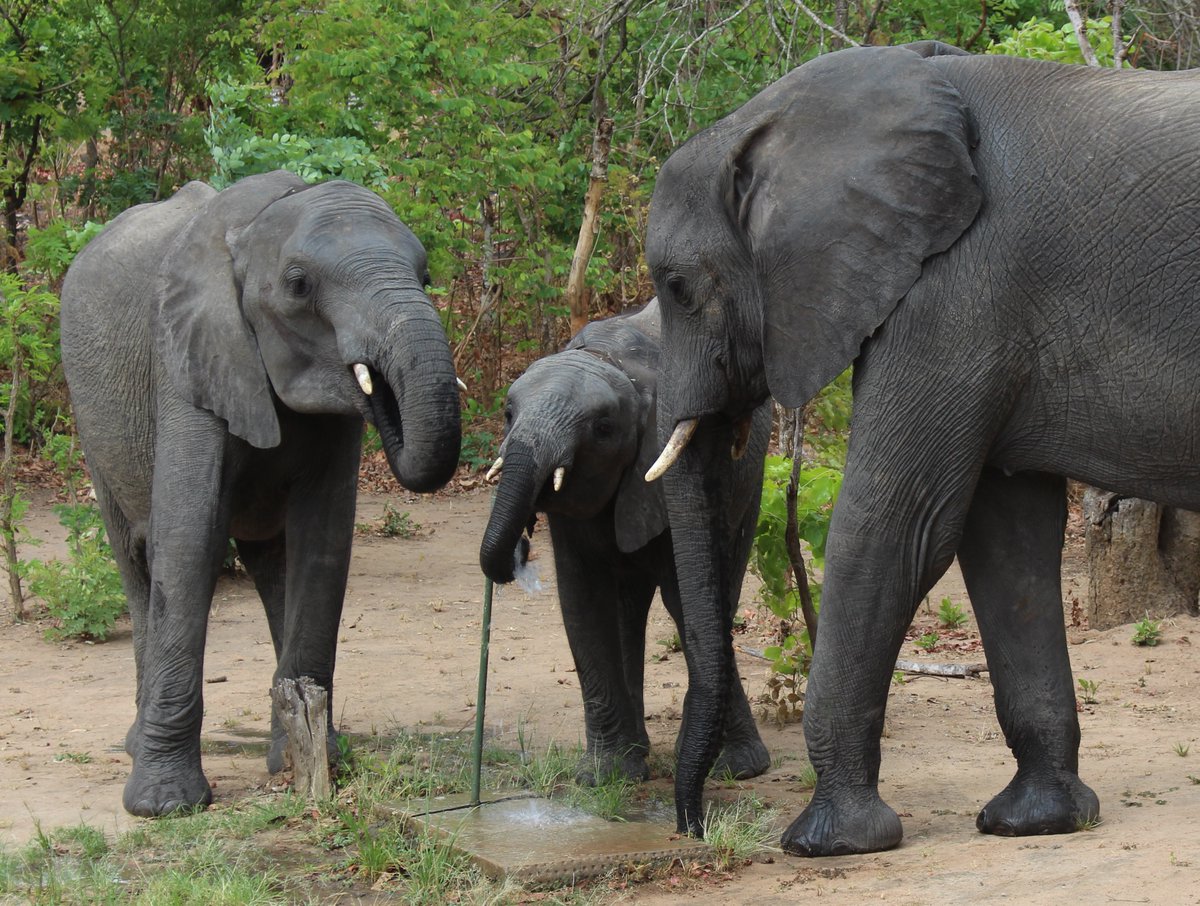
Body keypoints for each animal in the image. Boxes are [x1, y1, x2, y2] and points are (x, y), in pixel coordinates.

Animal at [59, 170, 462, 817]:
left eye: (424, 279)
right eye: (298, 286)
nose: (380, 391)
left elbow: (322, 543)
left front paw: (318, 767)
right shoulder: (186, 363)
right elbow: (189, 540)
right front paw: (164, 806)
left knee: (274, 561)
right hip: (92, 421)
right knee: (136, 558)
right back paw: (137, 746)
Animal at [478, 299, 771, 786]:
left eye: (602, 428)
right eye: (506, 412)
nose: (522, 543)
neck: (611, 363)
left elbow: (683, 599)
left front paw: (736, 771)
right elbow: (584, 600)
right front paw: (606, 776)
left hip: (751, 482)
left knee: (717, 589)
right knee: (628, 605)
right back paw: (641, 752)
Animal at [642, 41, 1200, 853]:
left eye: (679, 288)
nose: (694, 825)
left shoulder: (953, 292)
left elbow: (895, 525)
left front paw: (826, 843)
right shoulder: (988, 315)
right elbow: (1005, 541)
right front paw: (1036, 823)